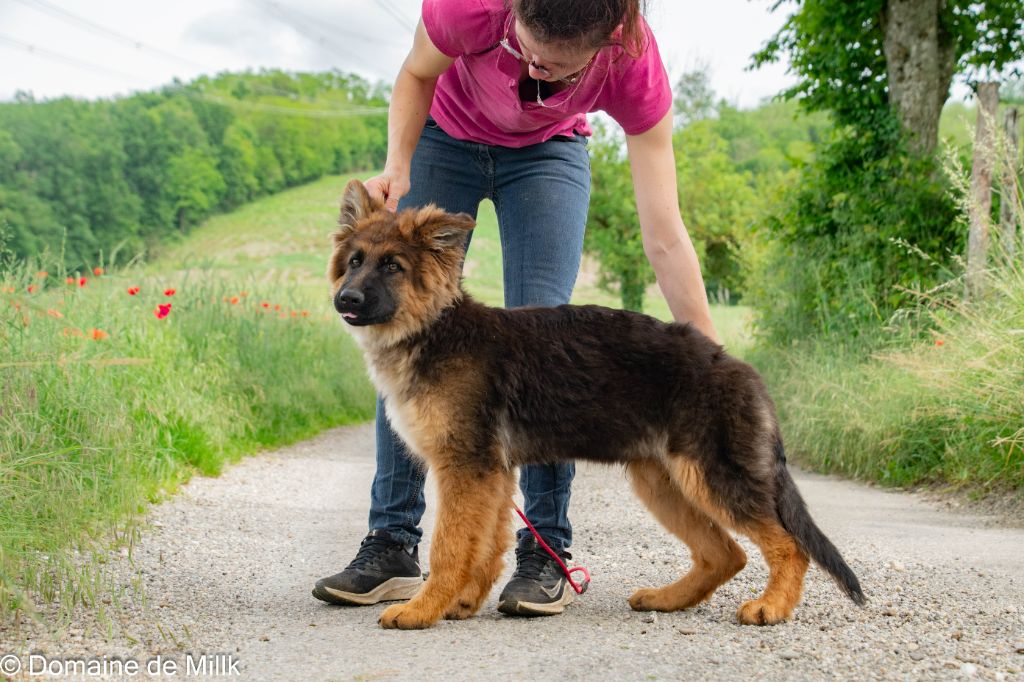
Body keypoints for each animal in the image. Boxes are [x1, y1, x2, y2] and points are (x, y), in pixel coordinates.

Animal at [327, 179, 864, 626]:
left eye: (392, 266)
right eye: (355, 261)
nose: (344, 299)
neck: (434, 328)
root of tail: (735, 365)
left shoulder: (466, 468)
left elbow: (450, 548)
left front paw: (423, 609)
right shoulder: (490, 475)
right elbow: (486, 545)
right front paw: (462, 602)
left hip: (712, 476)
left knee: (789, 546)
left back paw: (772, 606)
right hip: (663, 482)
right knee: (726, 553)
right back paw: (669, 598)